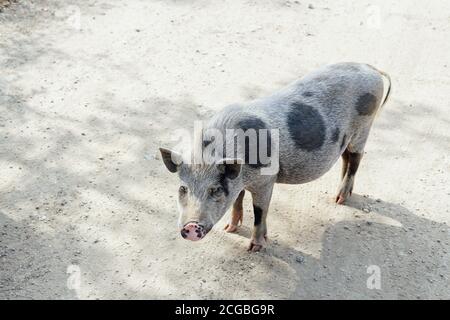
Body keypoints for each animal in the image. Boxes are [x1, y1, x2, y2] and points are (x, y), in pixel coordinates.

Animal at [160, 62, 392, 251]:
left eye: (215, 189)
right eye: (183, 188)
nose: (191, 226)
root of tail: (370, 68)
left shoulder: (266, 180)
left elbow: (259, 212)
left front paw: (254, 248)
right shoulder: (239, 180)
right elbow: (237, 201)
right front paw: (230, 229)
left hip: (364, 127)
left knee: (356, 159)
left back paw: (341, 199)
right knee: (346, 158)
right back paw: (337, 197)